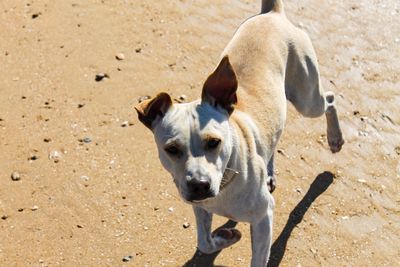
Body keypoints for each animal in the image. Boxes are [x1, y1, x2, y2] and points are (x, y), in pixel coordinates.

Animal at [134, 0, 344, 266]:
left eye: (214, 142)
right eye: (171, 149)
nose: (199, 185)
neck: (225, 181)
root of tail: (272, 13)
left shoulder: (264, 216)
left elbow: (258, 258)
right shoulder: (200, 207)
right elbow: (204, 241)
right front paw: (227, 236)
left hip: (307, 99)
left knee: (330, 99)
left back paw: (335, 139)